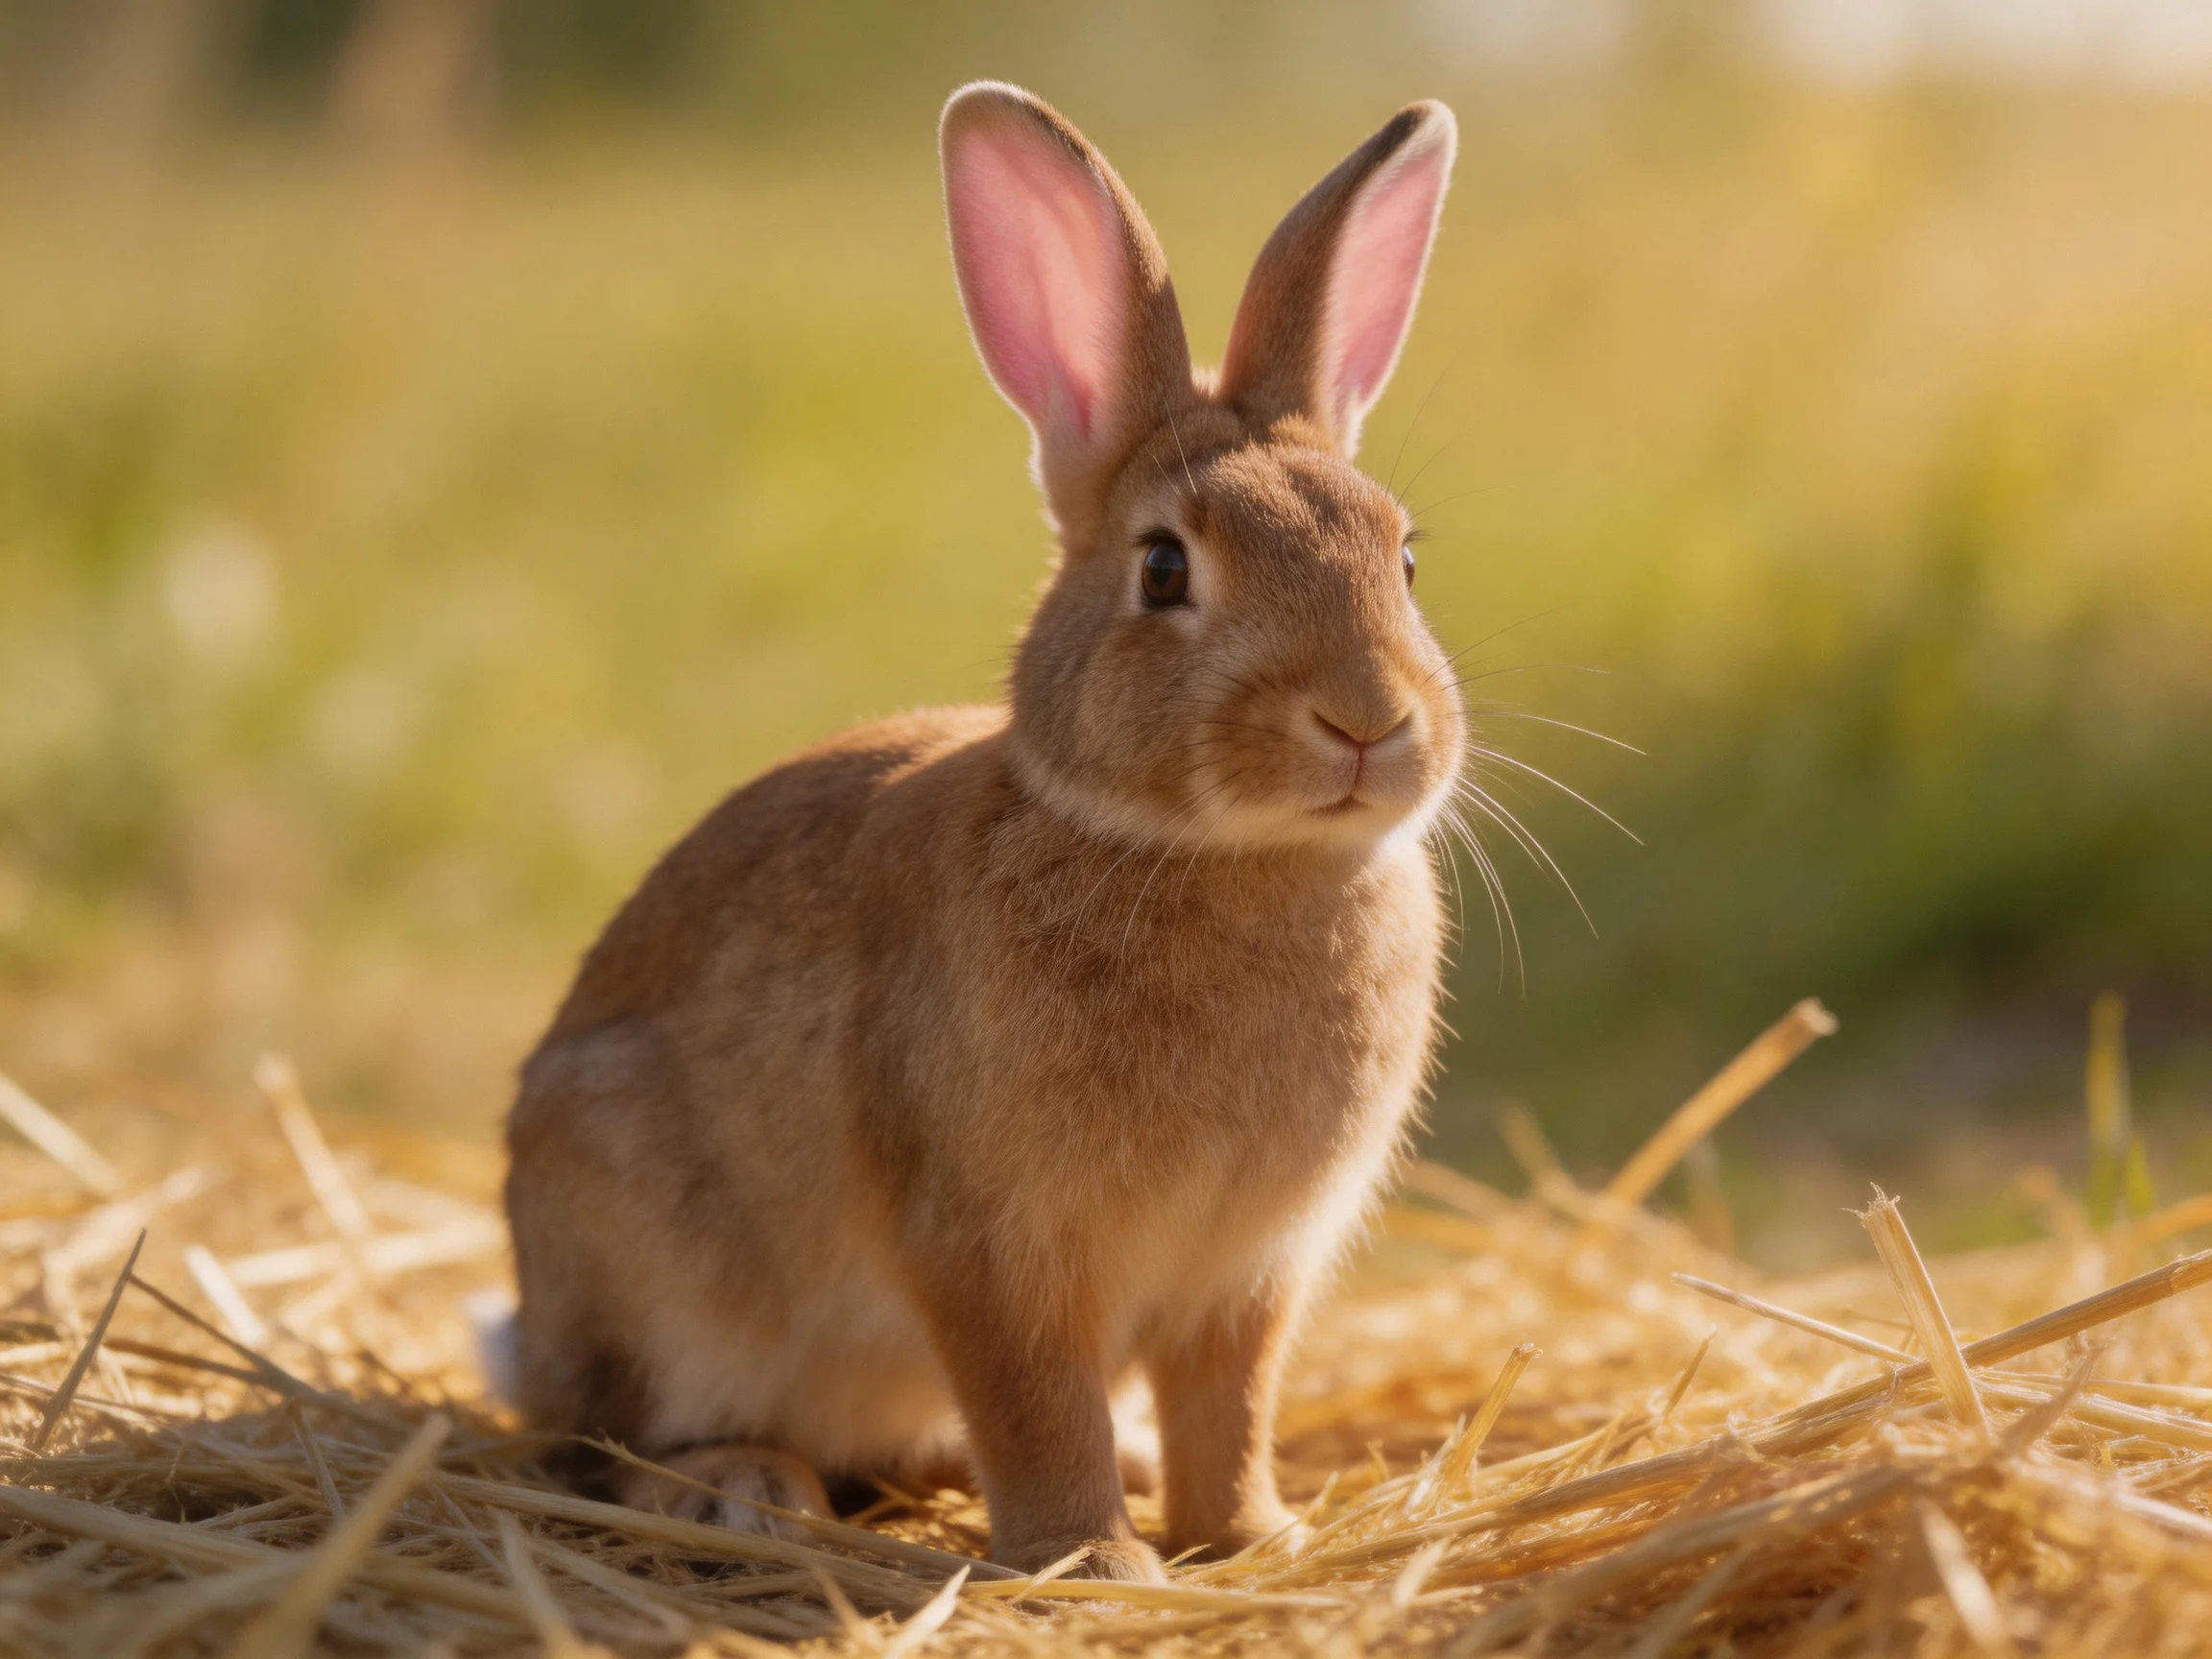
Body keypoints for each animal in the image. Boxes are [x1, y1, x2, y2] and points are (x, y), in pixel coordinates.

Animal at [504, 81, 1464, 1582]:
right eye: (1164, 567)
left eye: (1404, 558)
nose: (1367, 719)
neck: (1226, 856)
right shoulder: (991, 1247)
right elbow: (1036, 1400)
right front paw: (1096, 1561)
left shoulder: (1249, 1274)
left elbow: (1230, 1405)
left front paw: (1251, 1538)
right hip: (633, 1242)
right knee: (600, 1440)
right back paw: (738, 1491)